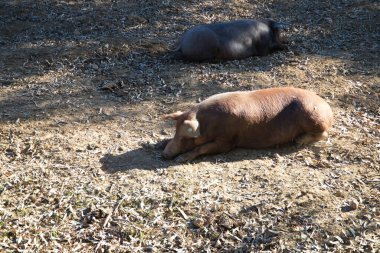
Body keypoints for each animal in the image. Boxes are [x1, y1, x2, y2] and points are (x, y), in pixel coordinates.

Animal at [163, 87, 332, 162]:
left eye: (186, 138)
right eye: (175, 131)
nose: (165, 155)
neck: (209, 123)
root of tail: (327, 107)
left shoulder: (227, 140)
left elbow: (203, 148)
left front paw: (180, 159)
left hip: (312, 116)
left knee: (324, 133)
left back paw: (298, 141)